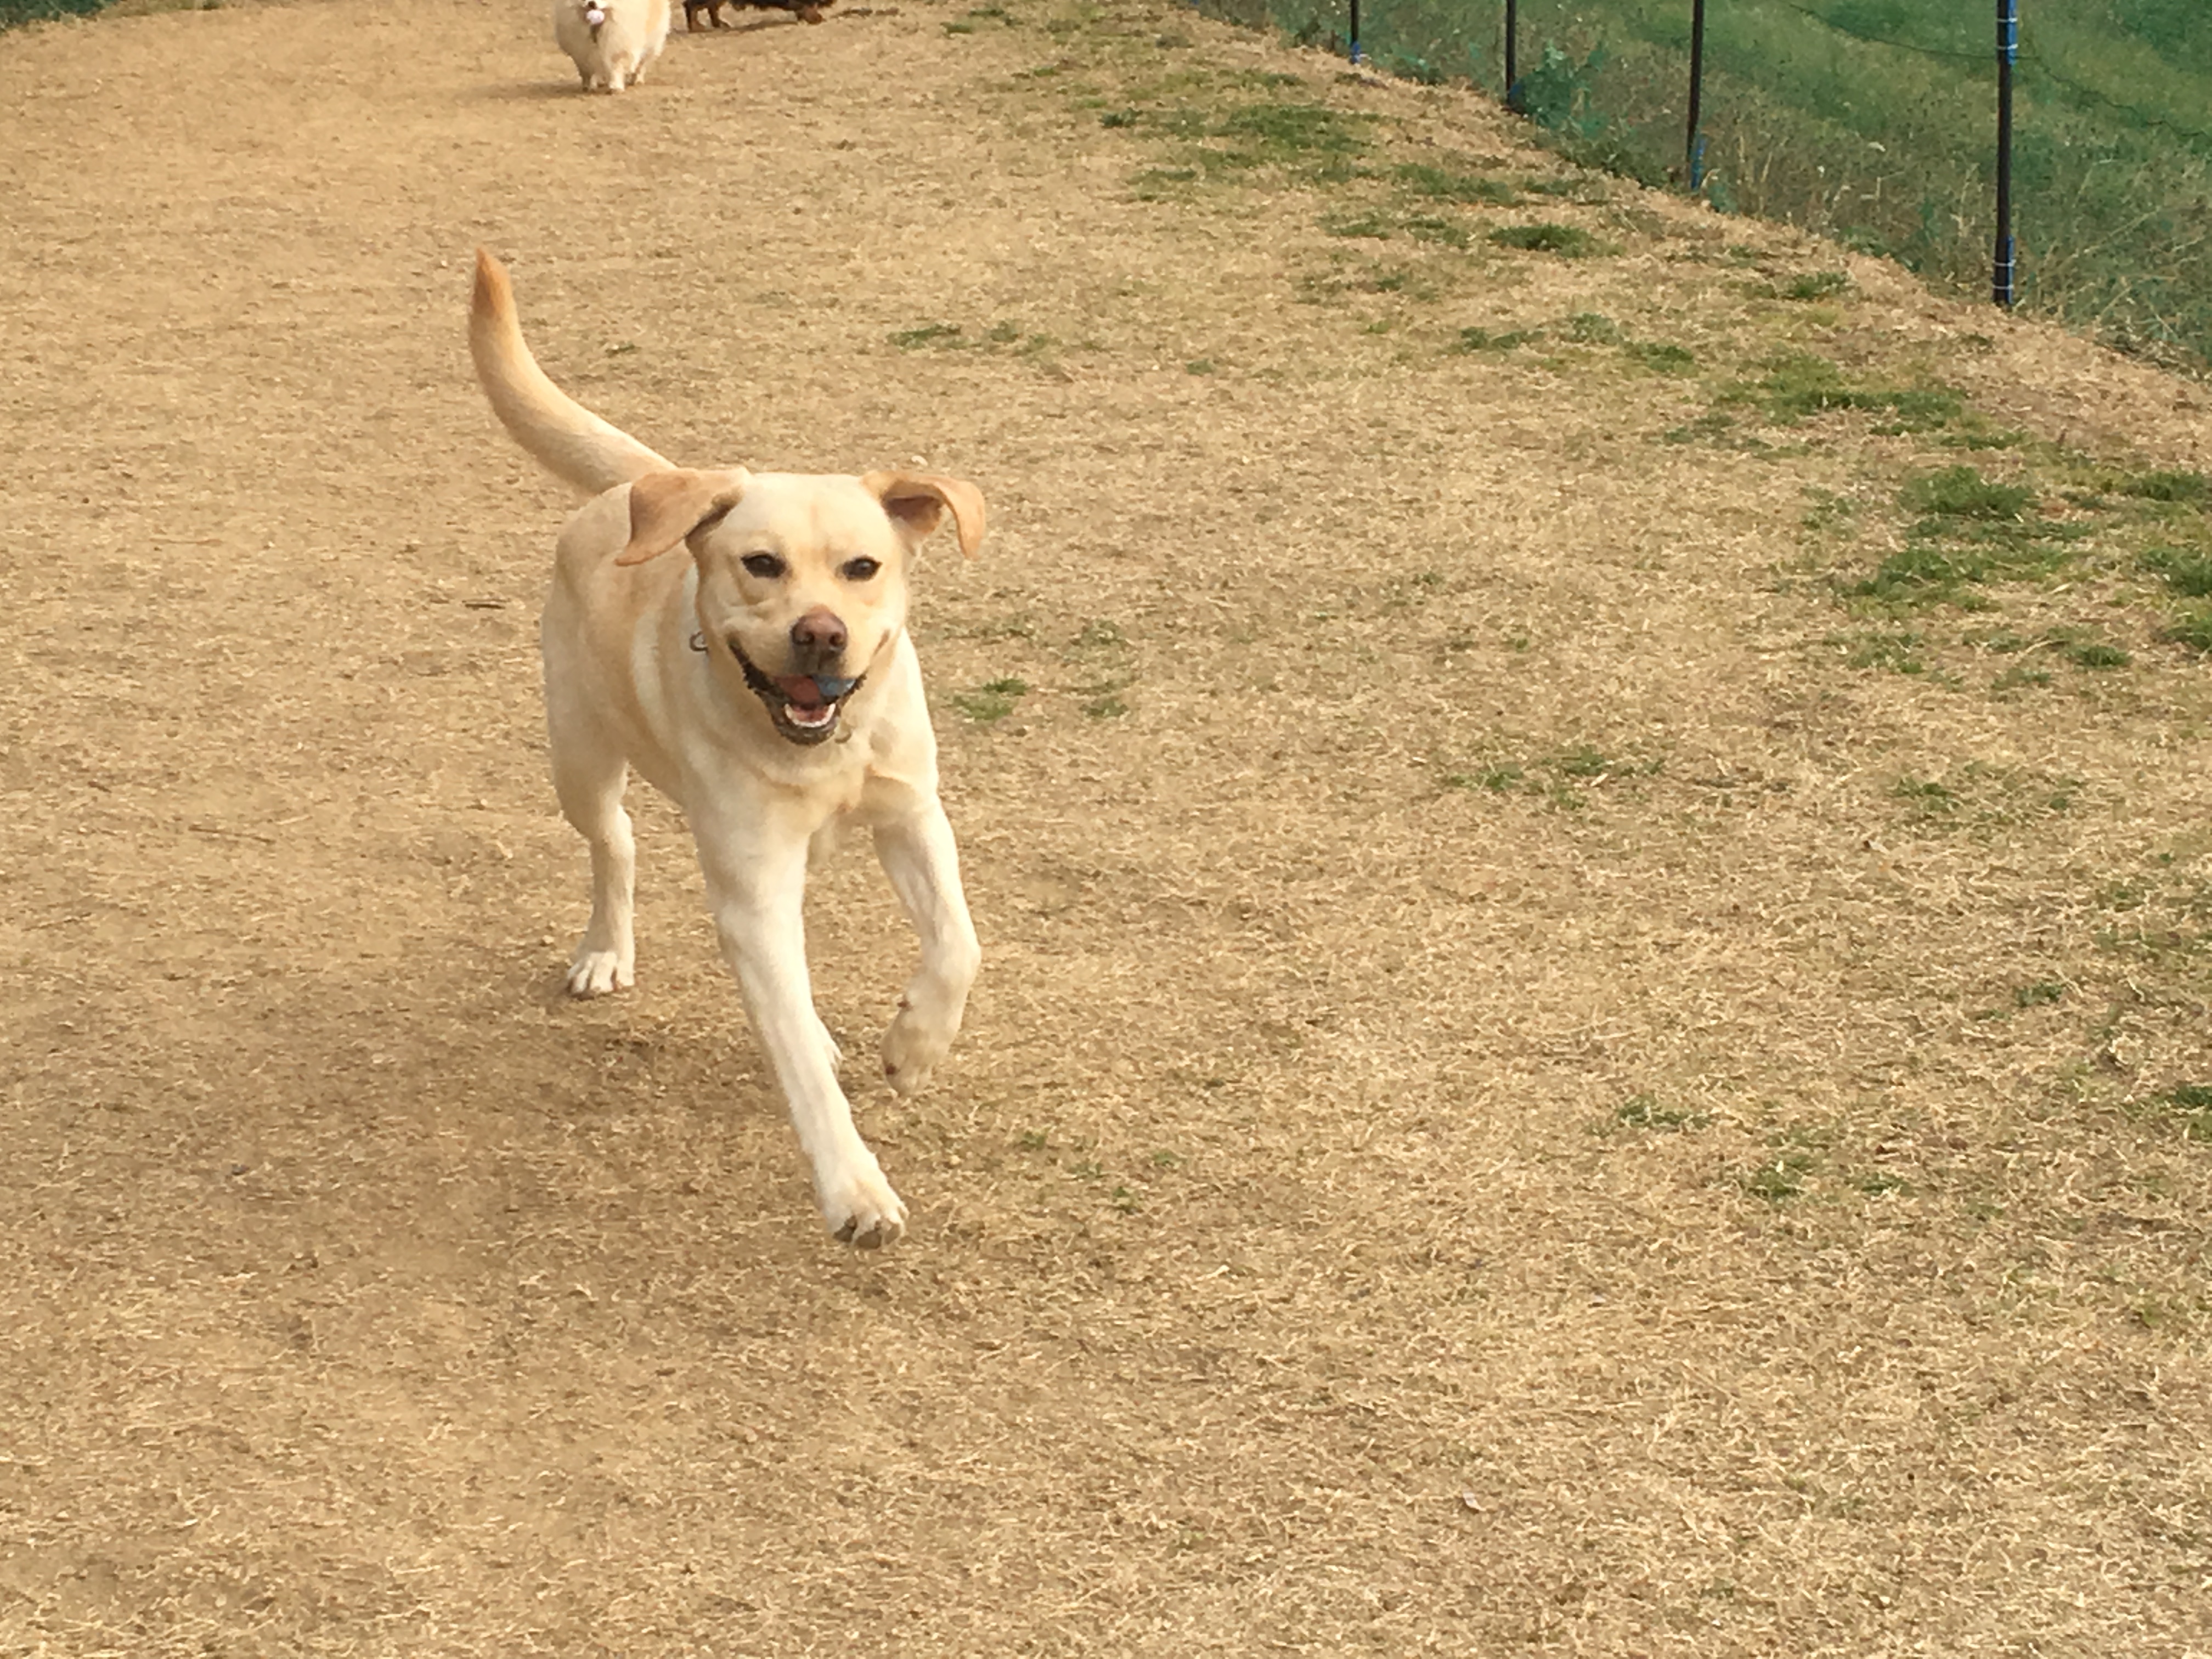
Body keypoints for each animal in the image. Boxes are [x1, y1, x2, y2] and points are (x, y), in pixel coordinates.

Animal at [469, 250, 986, 1248]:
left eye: (863, 568)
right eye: (760, 565)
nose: (821, 634)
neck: (820, 752)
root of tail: (649, 482)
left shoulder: (912, 813)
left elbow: (957, 944)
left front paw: (913, 1046)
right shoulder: (752, 893)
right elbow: (803, 1069)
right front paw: (855, 1190)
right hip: (579, 759)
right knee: (616, 842)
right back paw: (607, 949)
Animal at [553, 0, 663, 92]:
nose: (591, 3)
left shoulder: (617, 45)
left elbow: (616, 66)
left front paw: (616, 87)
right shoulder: (581, 51)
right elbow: (586, 70)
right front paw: (588, 86)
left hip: (652, 43)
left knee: (642, 64)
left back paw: (637, 80)